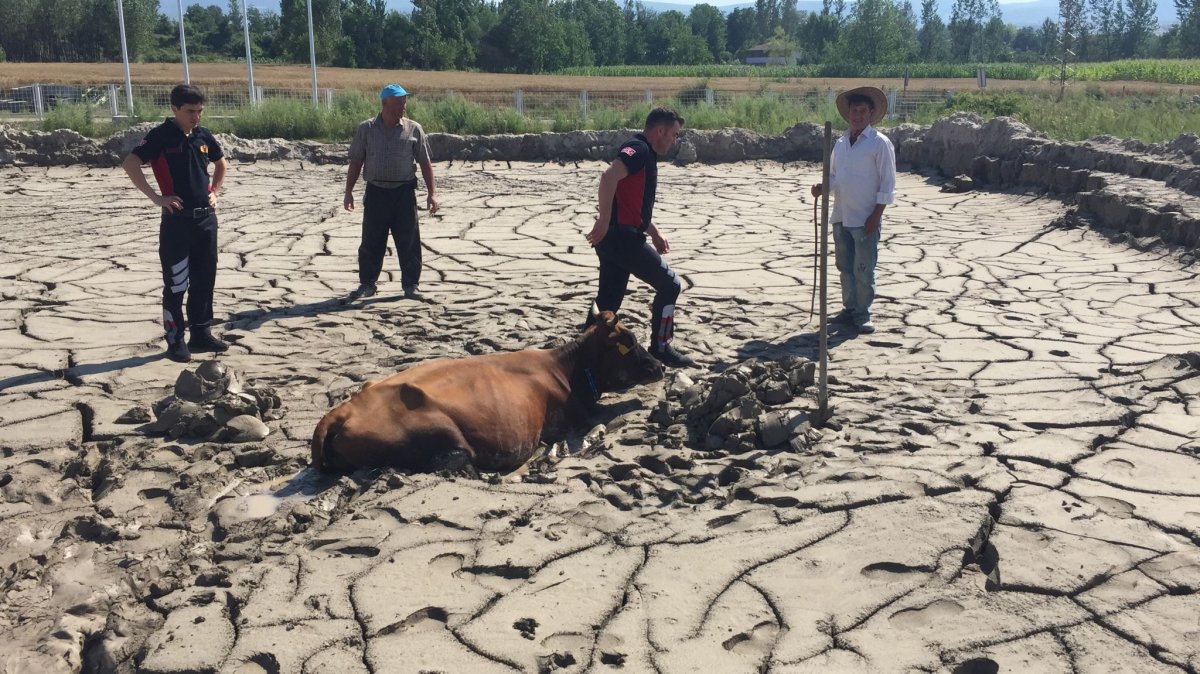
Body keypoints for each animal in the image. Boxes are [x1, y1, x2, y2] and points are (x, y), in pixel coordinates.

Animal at [309, 311, 662, 472]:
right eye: (629, 342)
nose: (659, 365)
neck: (566, 369)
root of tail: (344, 409)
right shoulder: (569, 420)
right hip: (444, 435)